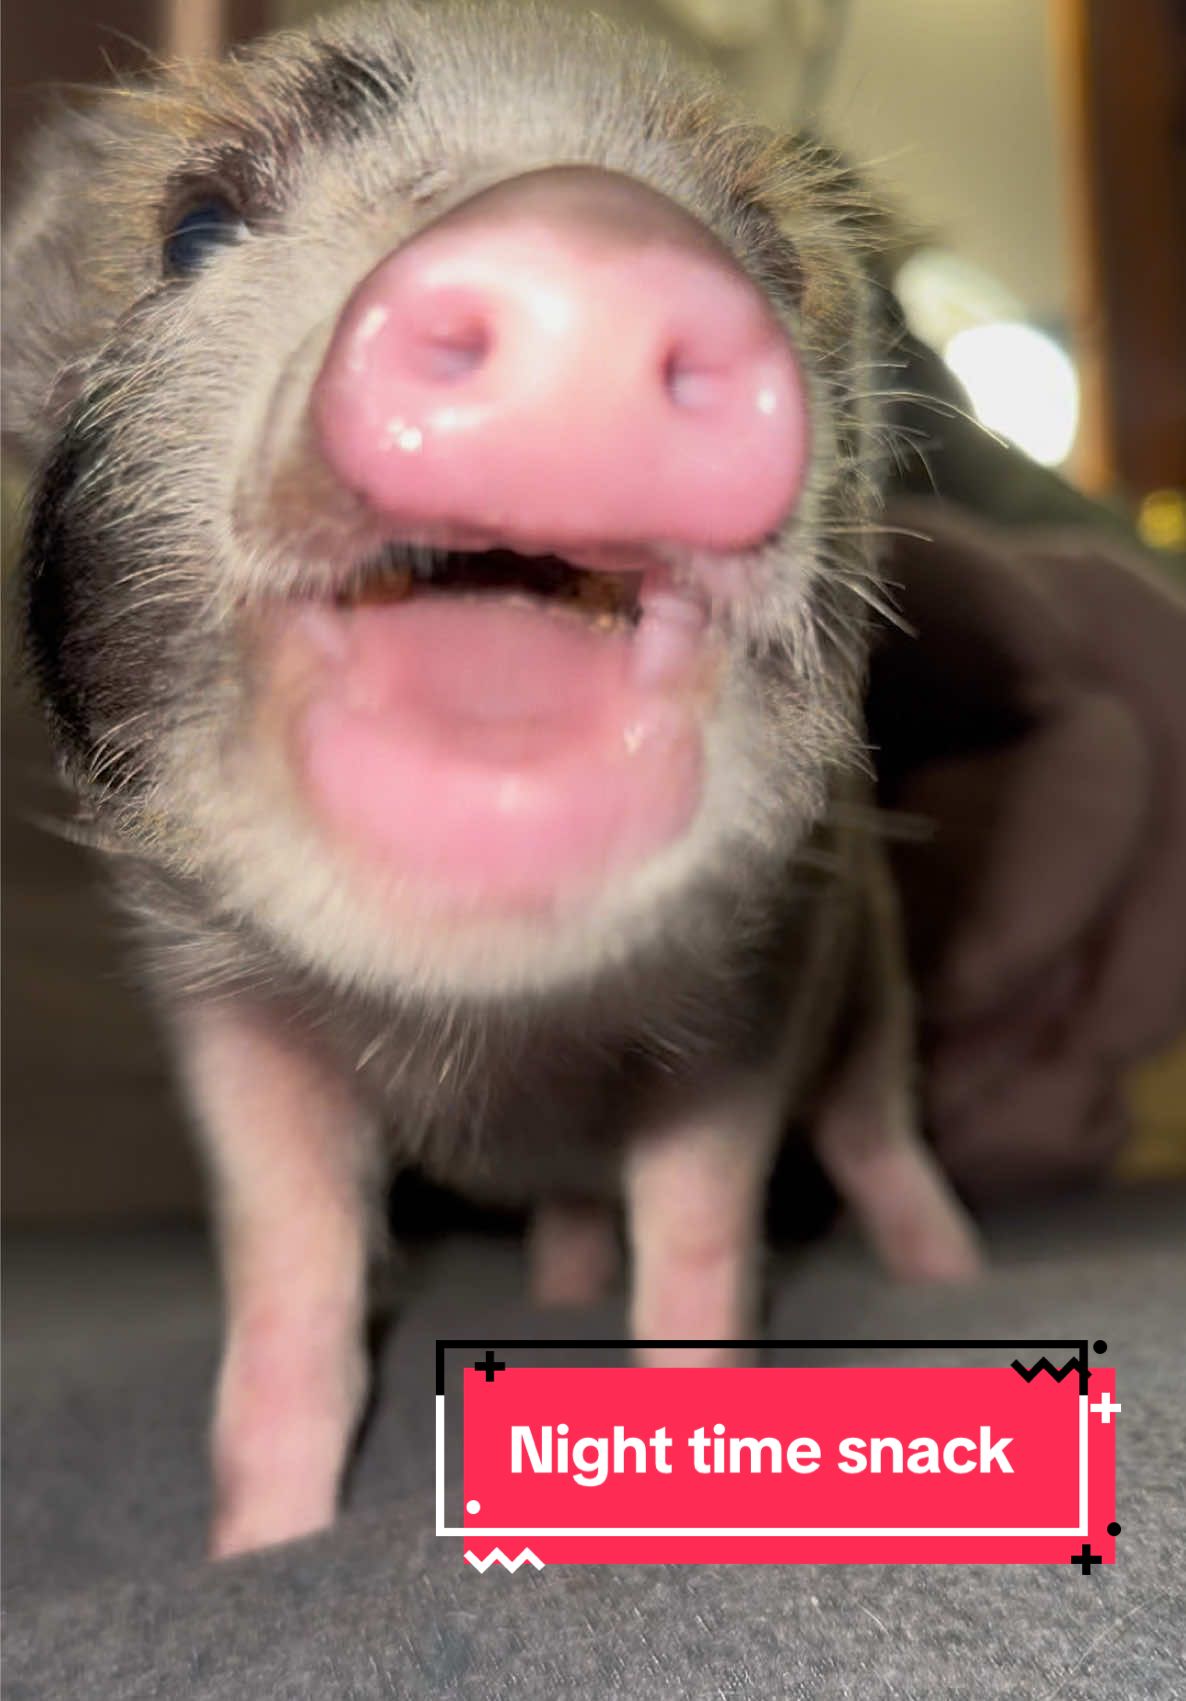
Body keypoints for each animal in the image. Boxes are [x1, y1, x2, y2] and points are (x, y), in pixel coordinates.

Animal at [2, 0, 981, 1558]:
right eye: (196, 228)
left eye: (775, 255)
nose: (585, 238)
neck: (495, 1045)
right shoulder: (216, 1007)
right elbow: (291, 1286)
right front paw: (258, 1547)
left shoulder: (776, 963)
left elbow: (702, 1235)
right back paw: (557, 1288)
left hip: (882, 977)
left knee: (879, 1133)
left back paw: (950, 1277)